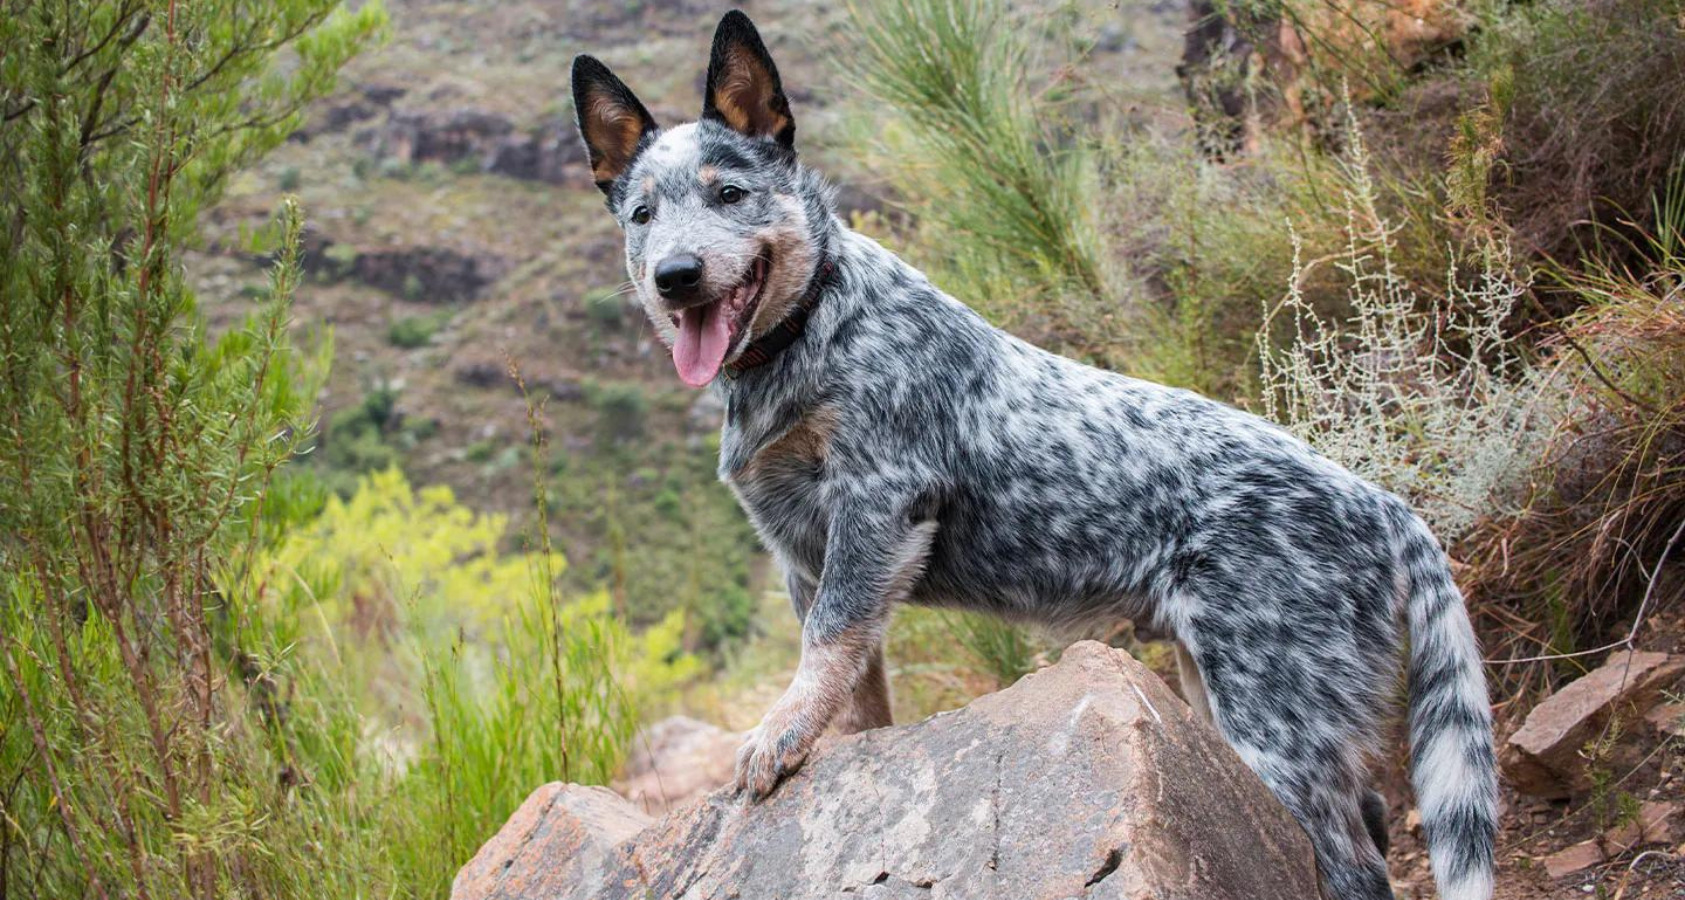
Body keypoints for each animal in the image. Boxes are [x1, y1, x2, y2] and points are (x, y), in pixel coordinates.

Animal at [572, 10, 1496, 896]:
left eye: (729, 194)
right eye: (641, 215)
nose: (675, 274)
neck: (813, 329)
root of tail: (1383, 505)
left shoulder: (877, 505)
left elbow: (825, 647)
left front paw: (777, 735)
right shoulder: (801, 553)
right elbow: (854, 689)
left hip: (1279, 721)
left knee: (1355, 864)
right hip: (1223, 691)